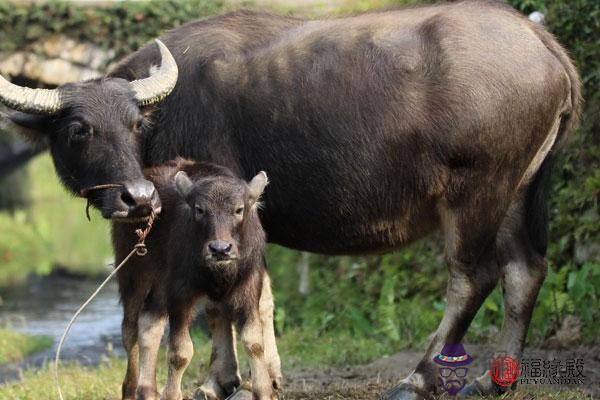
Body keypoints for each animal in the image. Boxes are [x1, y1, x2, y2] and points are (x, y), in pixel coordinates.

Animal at [0, 1, 580, 398]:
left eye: (135, 124)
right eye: (78, 129)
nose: (136, 196)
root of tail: (541, 41)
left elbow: (223, 305)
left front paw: (220, 381)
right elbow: (260, 299)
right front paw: (264, 377)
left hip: (477, 191)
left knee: (472, 276)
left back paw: (416, 379)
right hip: (520, 190)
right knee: (526, 270)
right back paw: (495, 379)